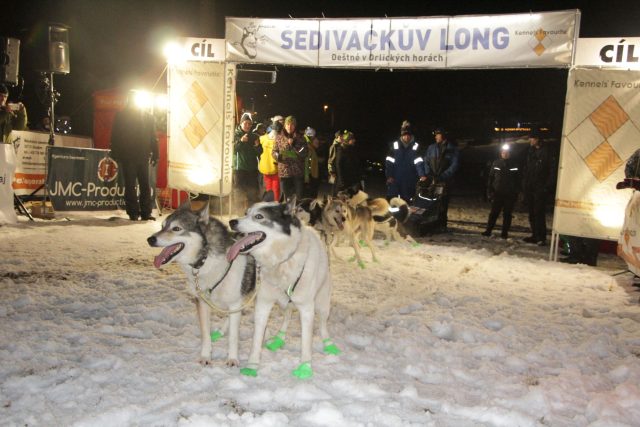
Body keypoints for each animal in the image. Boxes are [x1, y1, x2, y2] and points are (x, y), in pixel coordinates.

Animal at [229, 199, 342, 380]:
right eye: (246, 213)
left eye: (259, 216)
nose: (232, 222)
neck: (281, 261)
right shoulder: (263, 303)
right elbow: (257, 338)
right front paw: (252, 366)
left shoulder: (306, 309)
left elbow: (306, 342)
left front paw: (305, 367)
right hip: (285, 303)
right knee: (287, 316)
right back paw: (279, 339)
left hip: (322, 304)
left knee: (323, 325)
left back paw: (328, 343)